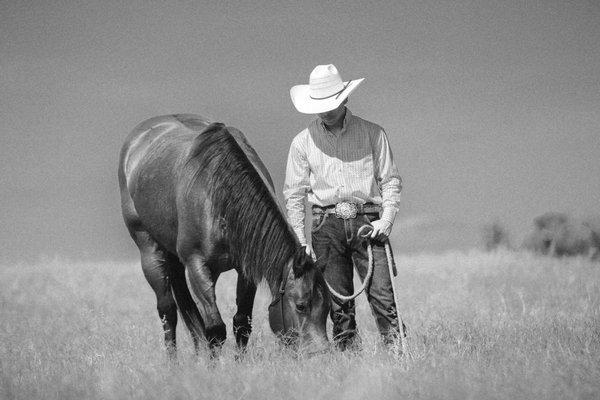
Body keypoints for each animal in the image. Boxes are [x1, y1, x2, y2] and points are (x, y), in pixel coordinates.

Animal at [118, 114, 330, 358]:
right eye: (301, 305)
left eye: (328, 307)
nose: (320, 354)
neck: (221, 198)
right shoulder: (196, 264)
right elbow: (215, 329)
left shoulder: (246, 269)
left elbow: (241, 322)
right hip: (150, 252)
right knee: (168, 311)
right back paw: (173, 363)